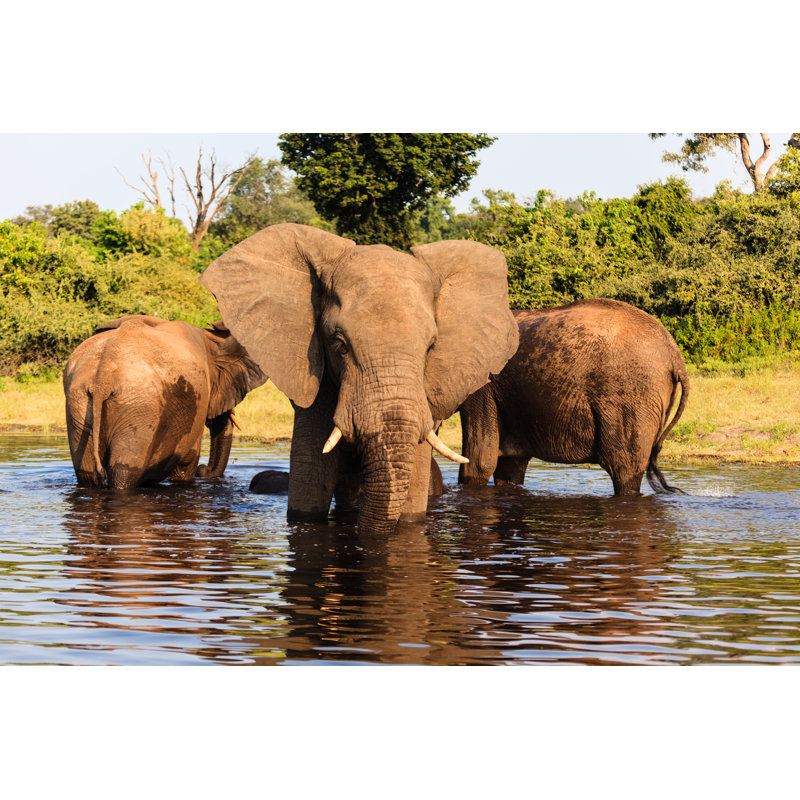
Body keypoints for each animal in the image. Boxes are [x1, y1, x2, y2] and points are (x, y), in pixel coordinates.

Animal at [63, 315, 266, 488]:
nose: (204, 471)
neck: (210, 339)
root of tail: (103, 376)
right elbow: (186, 464)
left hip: (79, 401)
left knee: (86, 470)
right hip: (140, 407)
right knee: (124, 473)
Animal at [458, 298, 690, 496]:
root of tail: (675, 355)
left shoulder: (483, 386)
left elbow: (479, 460)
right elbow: (510, 465)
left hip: (631, 397)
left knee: (624, 469)